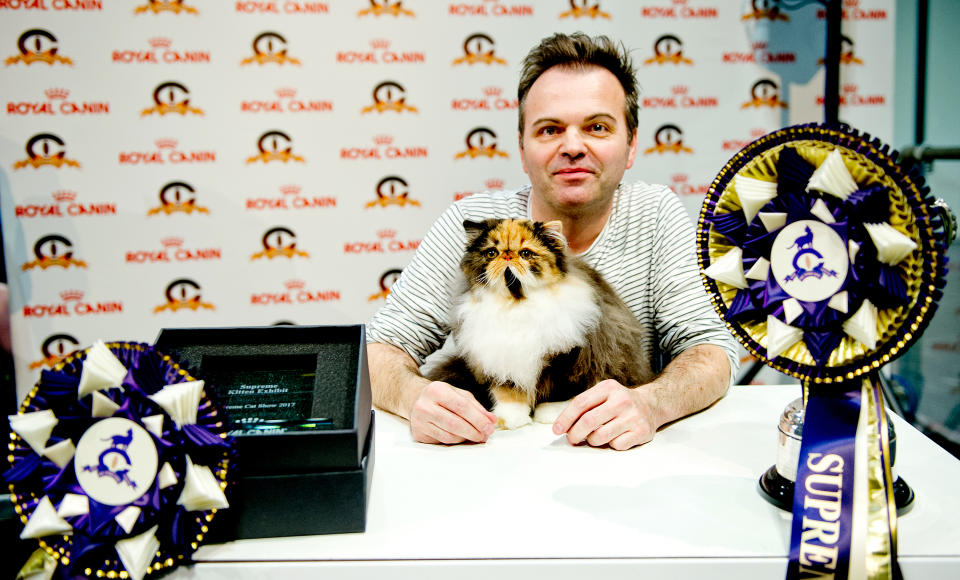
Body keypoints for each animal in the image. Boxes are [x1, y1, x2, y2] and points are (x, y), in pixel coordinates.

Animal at [424, 220, 656, 428]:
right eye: (491, 253)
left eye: (526, 254)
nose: (507, 255)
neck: (516, 305)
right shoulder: (502, 361)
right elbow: (509, 394)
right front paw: (510, 420)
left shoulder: (566, 360)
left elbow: (557, 393)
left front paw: (549, 415)